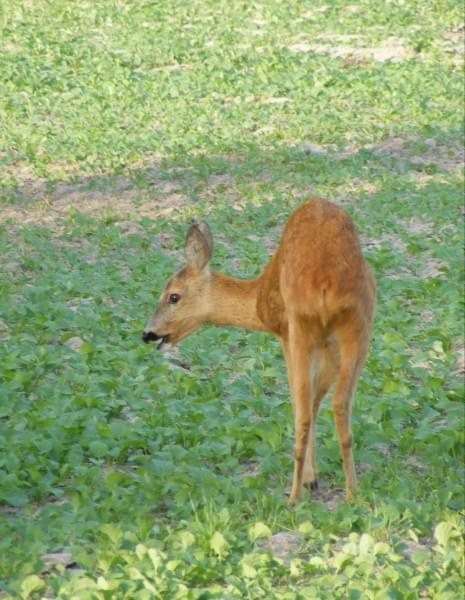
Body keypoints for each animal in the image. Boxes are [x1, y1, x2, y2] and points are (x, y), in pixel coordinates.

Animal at [143, 199, 376, 504]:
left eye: (173, 296)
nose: (148, 333)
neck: (256, 301)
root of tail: (326, 283)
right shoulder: (328, 346)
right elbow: (318, 400)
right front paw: (315, 478)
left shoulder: (285, 334)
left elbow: (303, 403)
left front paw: (310, 479)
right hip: (359, 324)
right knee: (339, 403)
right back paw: (353, 494)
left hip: (299, 325)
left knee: (302, 410)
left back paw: (293, 498)